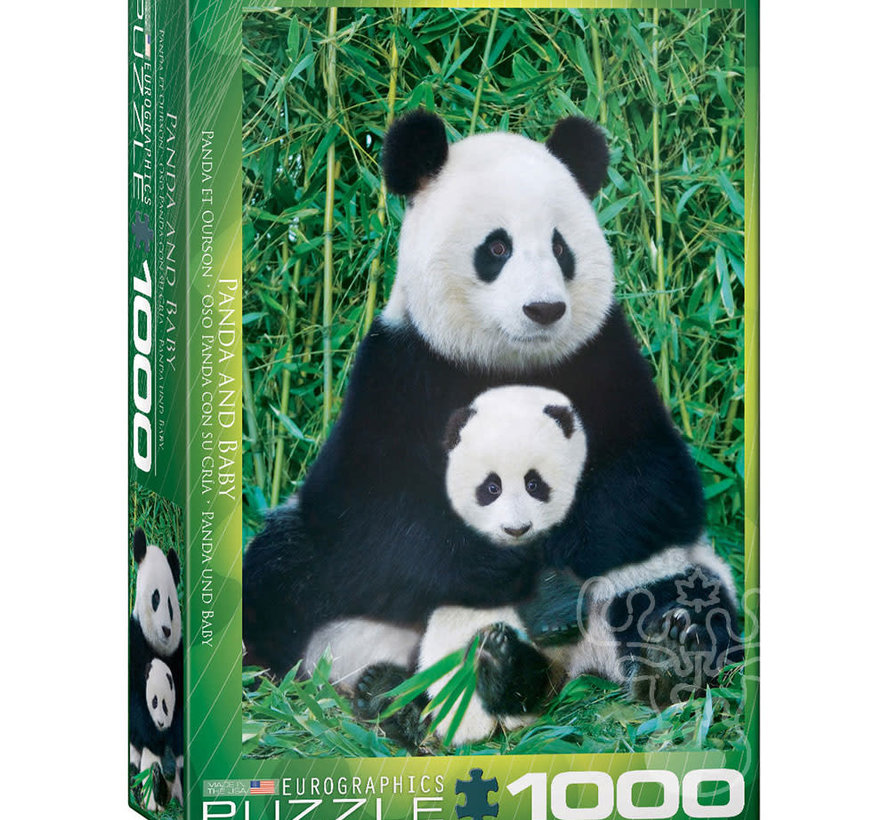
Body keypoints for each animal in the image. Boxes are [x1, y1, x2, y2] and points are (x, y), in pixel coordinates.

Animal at [242, 111, 739, 726]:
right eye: (497, 247)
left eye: (560, 247)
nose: (544, 309)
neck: (507, 361)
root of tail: (572, 665)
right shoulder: (399, 371)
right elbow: (371, 513)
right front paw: (511, 567)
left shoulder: (606, 360)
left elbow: (652, 488)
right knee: (280, 575)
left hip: (659, 574)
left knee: (685, 594)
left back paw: (667, 654)